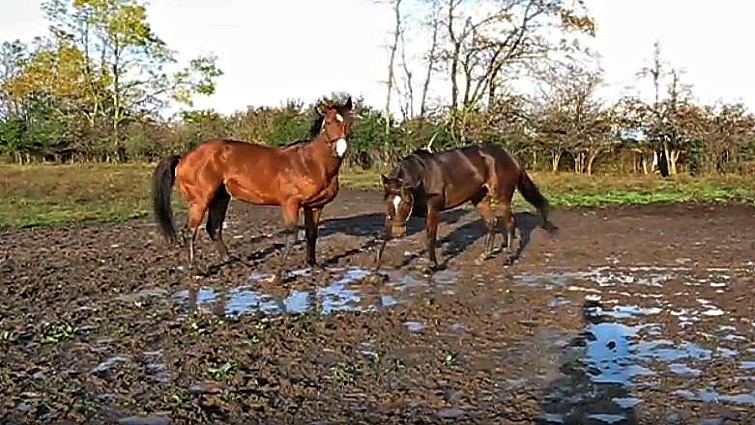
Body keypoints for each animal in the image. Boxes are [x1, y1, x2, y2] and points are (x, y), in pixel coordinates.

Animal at [152, 97, 355, 280]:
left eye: (350, 121)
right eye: (328, 122)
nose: (340, 149)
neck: (311, 162)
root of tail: (184, 157)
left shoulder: (314, 206)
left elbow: (311, 234)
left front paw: (313, 265)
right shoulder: (290, 204)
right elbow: (292, 236)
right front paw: (278, 276)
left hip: (221, 198)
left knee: (214, 228)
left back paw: (231, 262)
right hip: (200, 201)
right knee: (190, 231)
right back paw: (195, 271)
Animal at [375, 142, 557, 271]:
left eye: (407, 202)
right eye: (387, 202)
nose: (398, 231)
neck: (422, 179)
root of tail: (509, 156)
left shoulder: (433, 211)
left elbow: (430, 237)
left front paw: (431, 266)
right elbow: (383, 237)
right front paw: (377, 266)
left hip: (502, 198)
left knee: (510, 223)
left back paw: (508, 258)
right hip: (480, 198)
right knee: (491, 222)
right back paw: (485, 255)